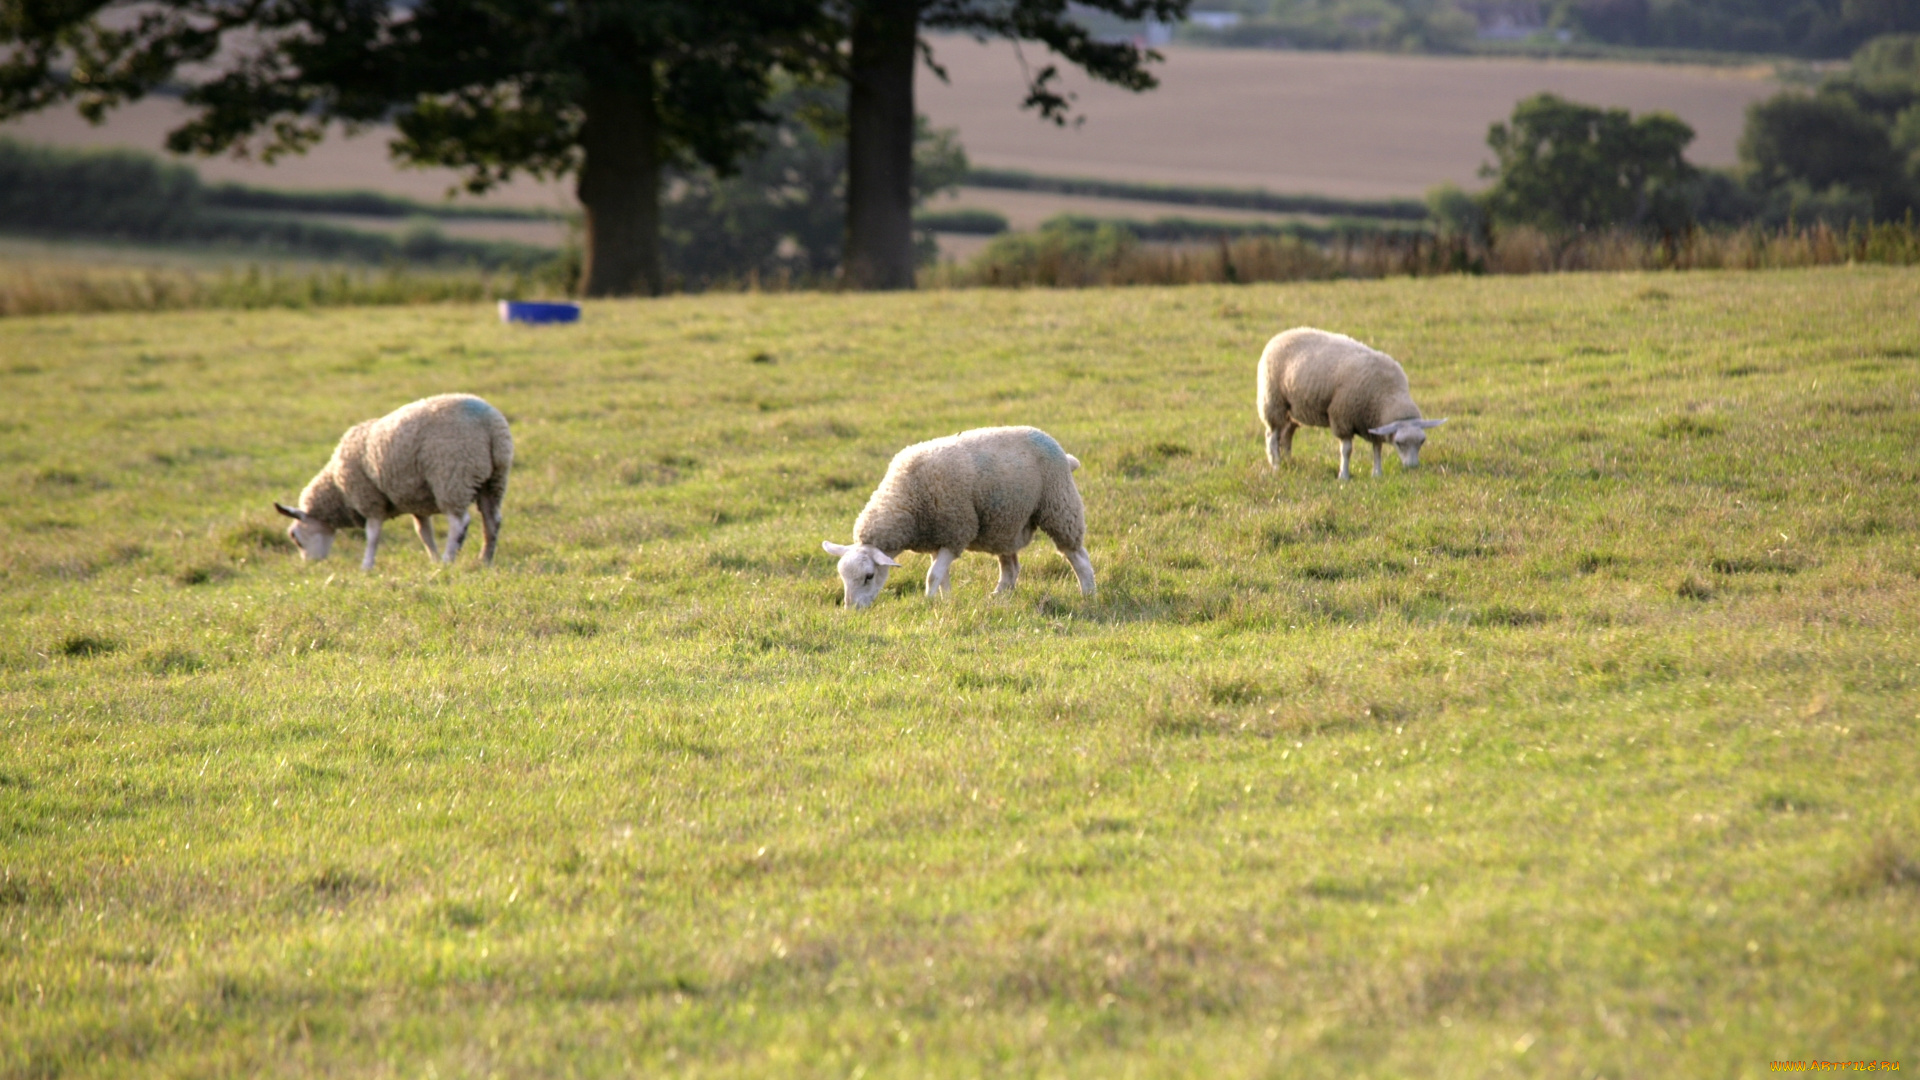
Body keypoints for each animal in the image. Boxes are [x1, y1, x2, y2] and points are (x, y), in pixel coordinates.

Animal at [272, 390, 510, 568]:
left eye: (294, 537)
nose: (310, 564)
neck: (338, 491)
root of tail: (489, 424)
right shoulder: (416, 502)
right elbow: (424, 533)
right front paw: (432, 560)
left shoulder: (369, 500)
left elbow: (373, 535)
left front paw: (366, 566)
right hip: (494, 479)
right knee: (492, 520)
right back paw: (485, 559)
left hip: (453, 476)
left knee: (459, 523)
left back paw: (449, 559)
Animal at [821, 426, 1098, 611]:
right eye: (843, 577)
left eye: (869, 576)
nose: (852, 611)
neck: (907, 499)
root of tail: (1066, 457)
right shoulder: (939, 539)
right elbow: (941, 575)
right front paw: (945, 600)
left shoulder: (956, 533)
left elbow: (932, 575)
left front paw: (928, 602)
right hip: (1005, 522)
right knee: (1011, 567)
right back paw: (999, 596)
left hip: (1059, 507)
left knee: (1078, 557)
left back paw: (1088, 593)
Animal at [1251, 326, 1443, 480]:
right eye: (1399, 443)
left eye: (1422, 442)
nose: (1413, 468)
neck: (1388, 394)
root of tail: (1282, 335)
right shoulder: (1342, 417)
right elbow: (1347, 450)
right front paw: (1343, 476)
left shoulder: (1373, 422)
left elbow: (1377, 448)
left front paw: (1377, 473)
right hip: (1273, 402)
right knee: (1272, 436)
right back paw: (1276, 466)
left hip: (1293, 411)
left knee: (1286, 436)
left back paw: (1289, 463)